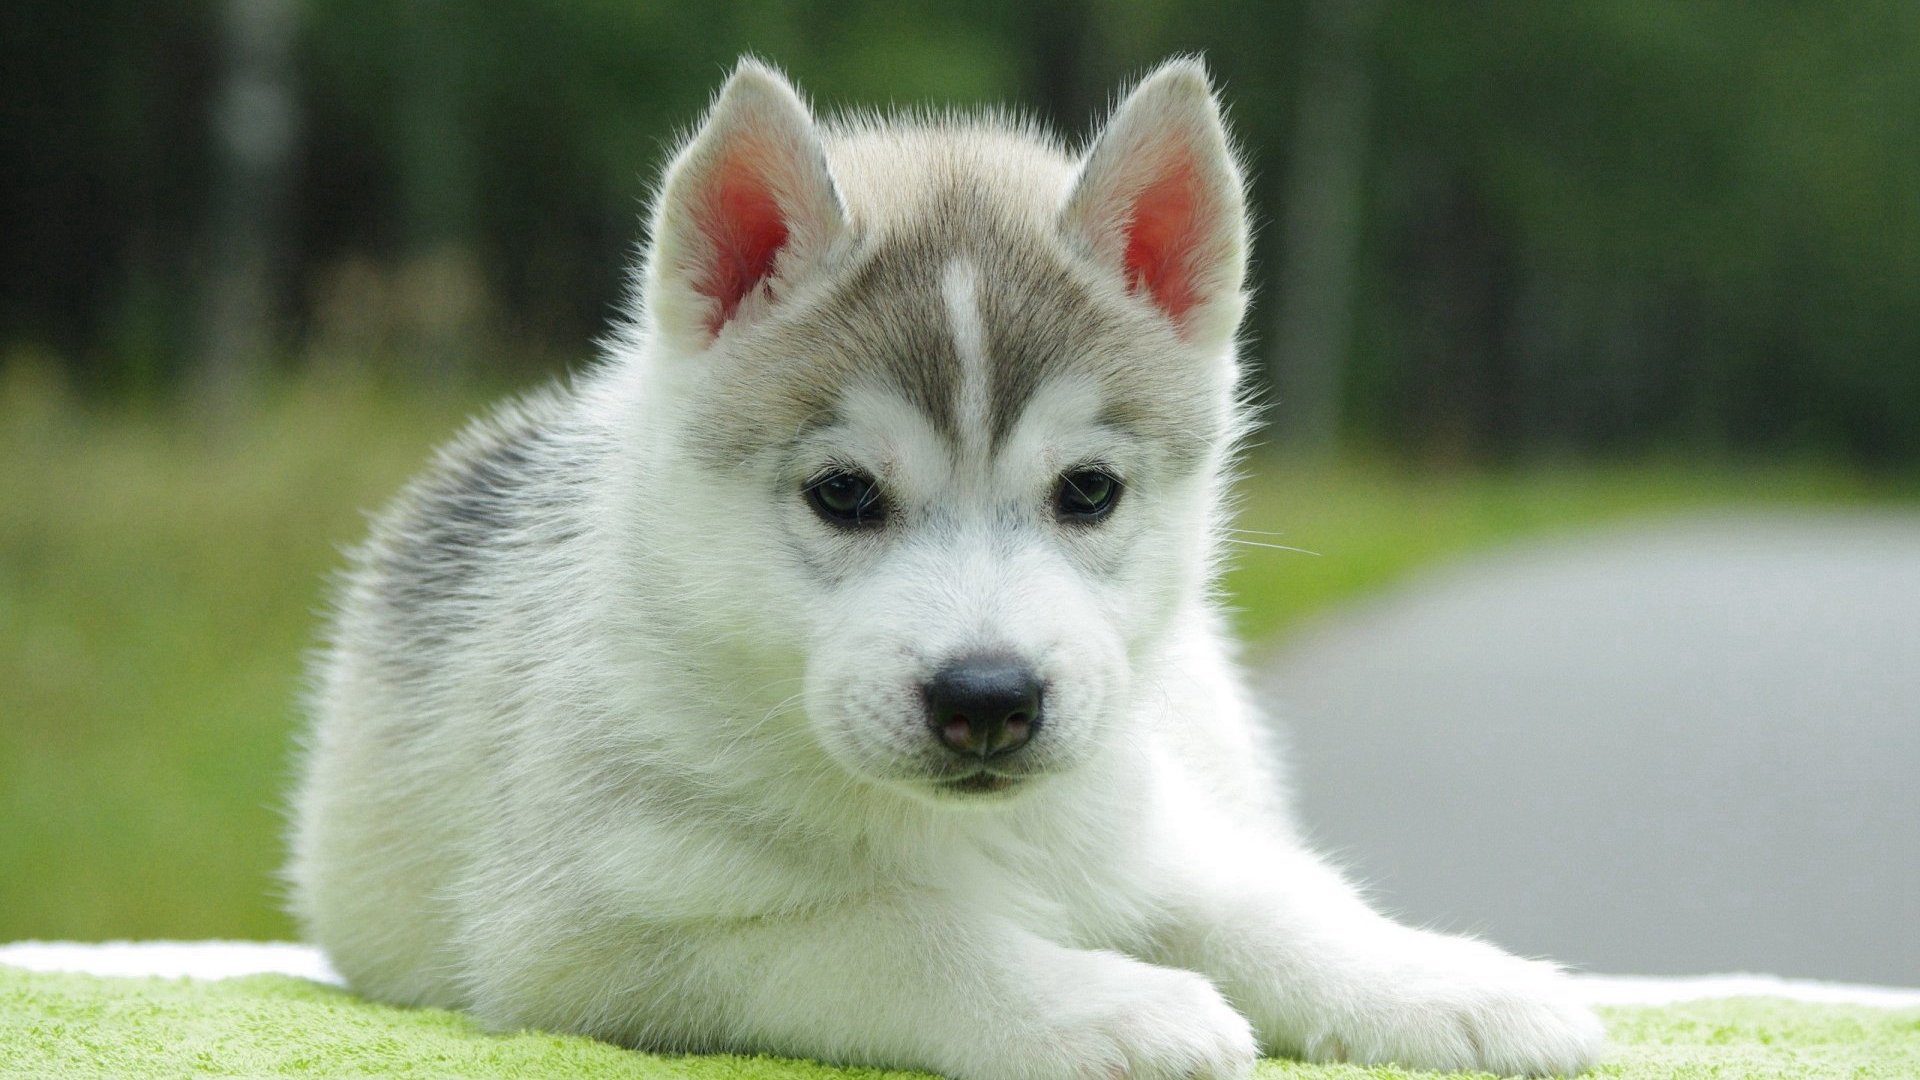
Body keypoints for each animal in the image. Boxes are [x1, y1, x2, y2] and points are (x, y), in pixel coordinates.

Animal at [288, 56, 1605, 1076]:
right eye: (843, 494)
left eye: (1088, 491)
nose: (989, 699)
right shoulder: (587, 941)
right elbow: (891, 934)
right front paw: (1110, 1003)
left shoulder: (1142, 828)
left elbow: (1267, 905)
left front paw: (1451, 985)